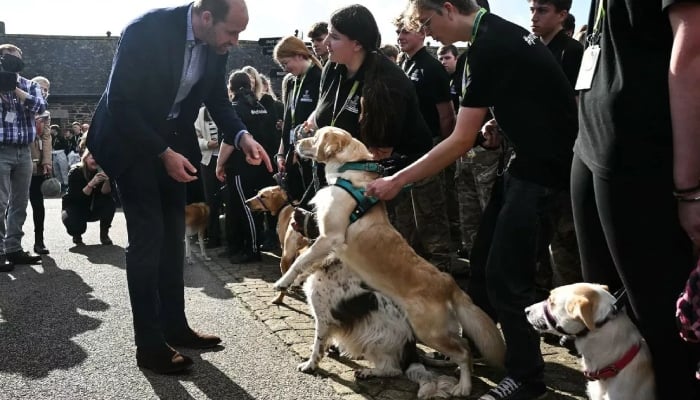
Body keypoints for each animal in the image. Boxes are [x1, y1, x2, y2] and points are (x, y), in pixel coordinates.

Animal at [270, 126, 506, 396]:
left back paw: (464, 386)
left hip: (429, 331)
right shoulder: (328, 243)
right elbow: (308, 260)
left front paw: (283, 281)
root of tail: (449, 283)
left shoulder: (330, 237)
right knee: (463, 344)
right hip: (438, 330)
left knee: (464, 351)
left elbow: (300, 261)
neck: (348, 174)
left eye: (316, 136)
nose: (296, 141)